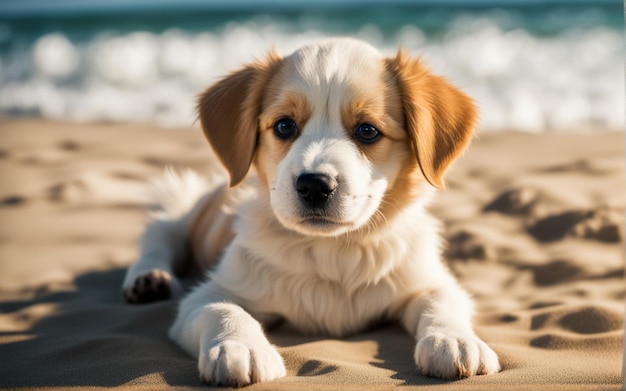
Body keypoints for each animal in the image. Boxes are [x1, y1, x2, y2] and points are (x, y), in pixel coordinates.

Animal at [122, 38, 500, 388]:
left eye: (367, 130)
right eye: (284, 126)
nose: (315, 185)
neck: (334, 249)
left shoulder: (426, 279)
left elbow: (443, 303)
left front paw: (454, 340)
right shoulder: (209, 293)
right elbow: (223, 309)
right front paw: (240, 348)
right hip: (187, 212)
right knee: (160, 235)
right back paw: (149, 278)